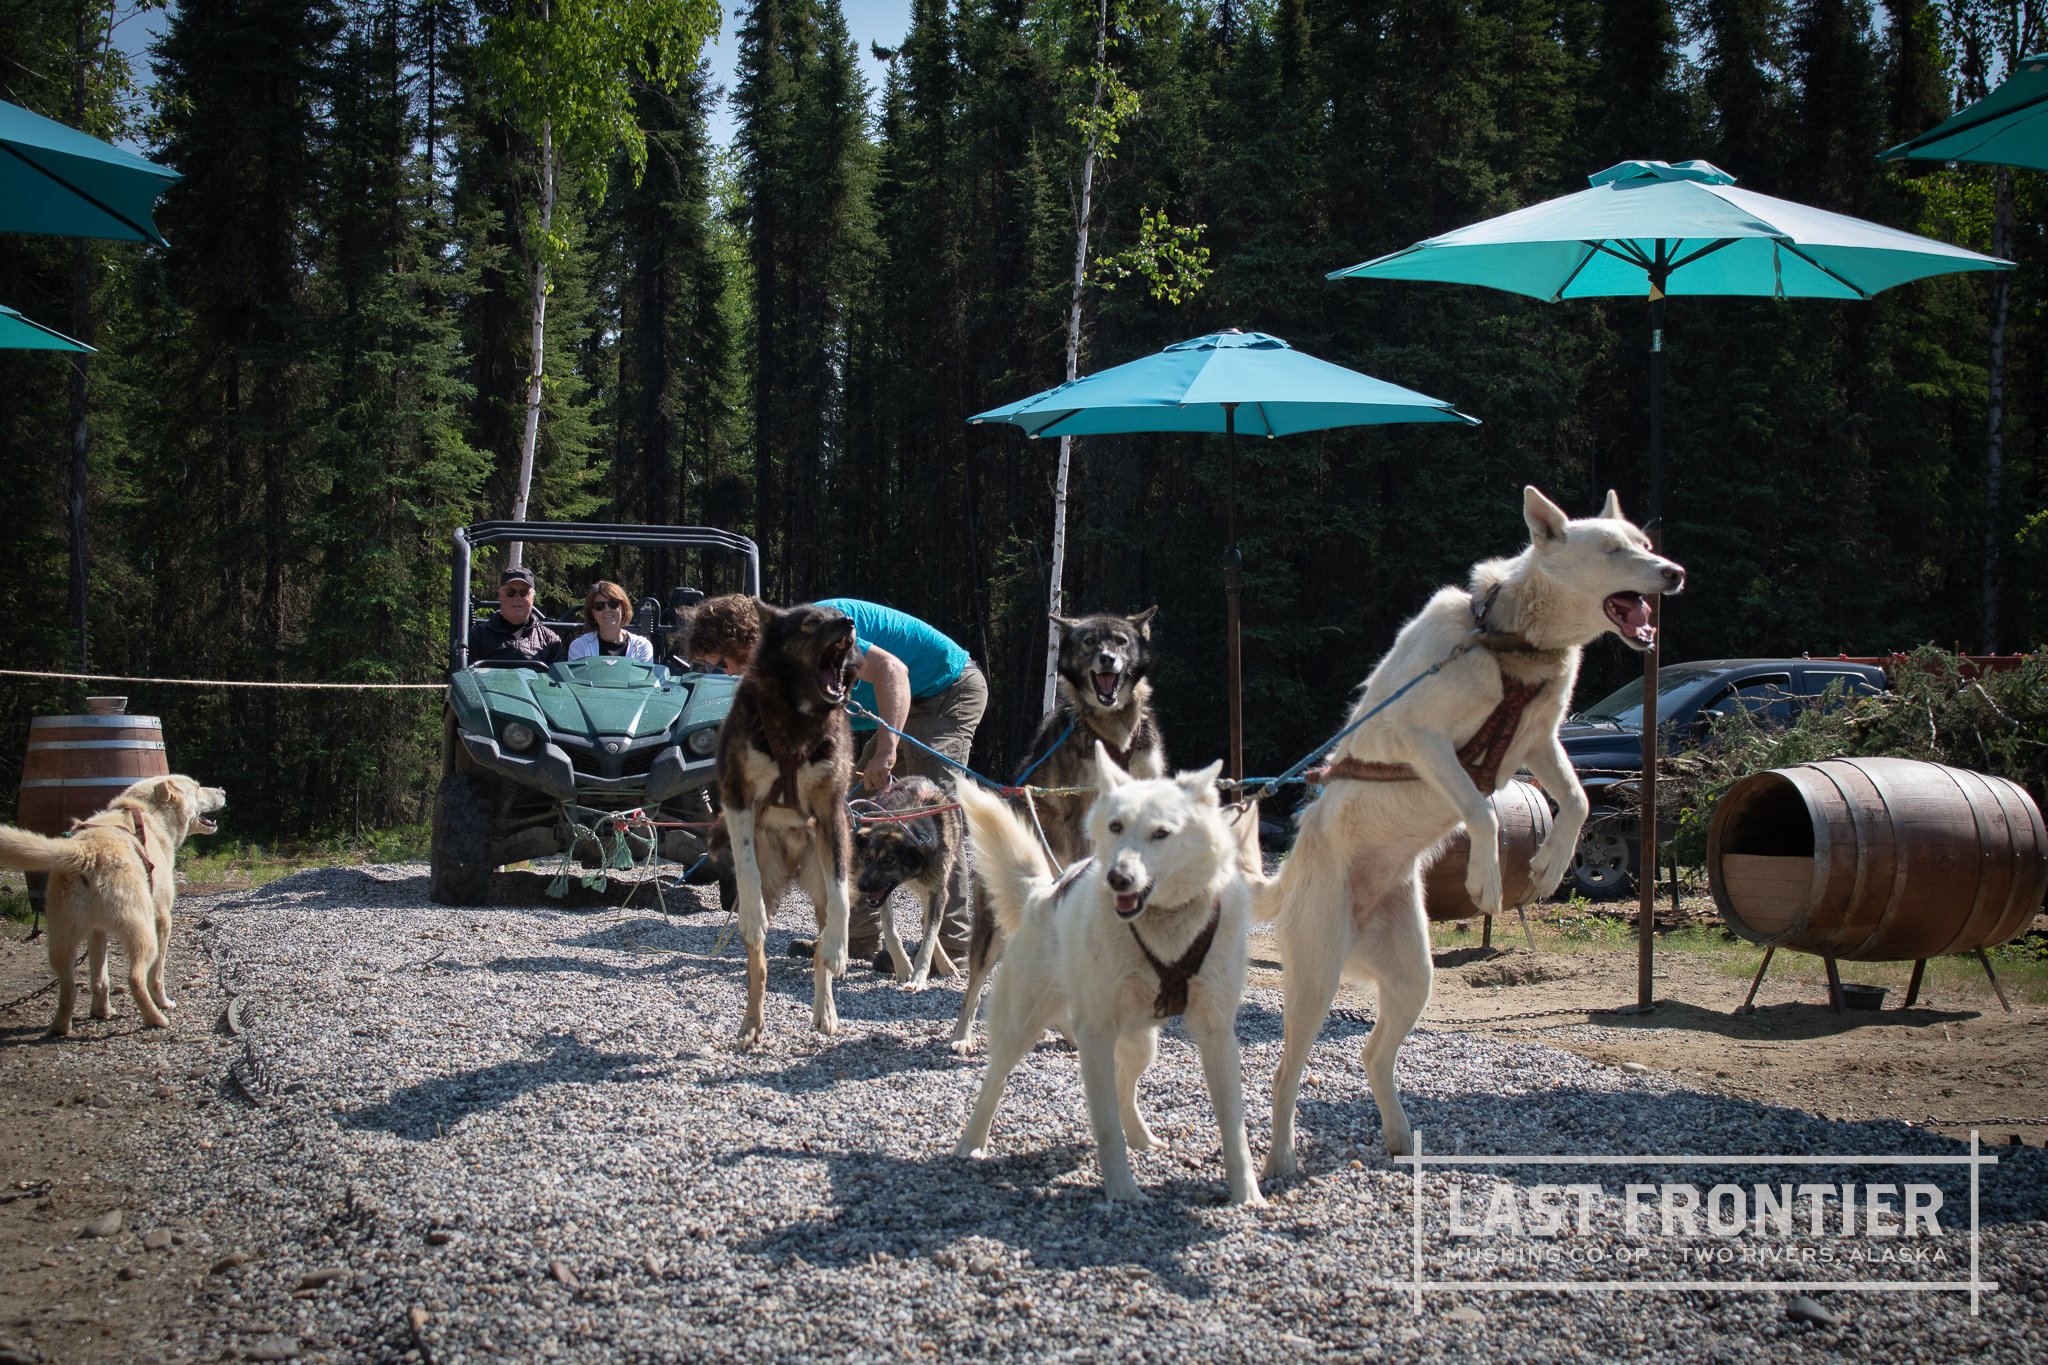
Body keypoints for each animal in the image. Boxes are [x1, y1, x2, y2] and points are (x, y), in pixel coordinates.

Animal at [0, 777, 226, 1035]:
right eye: (197, 788)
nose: (223, 791)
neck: (148, 814)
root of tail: (85, 853)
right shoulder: (162, 918)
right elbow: (157, 975)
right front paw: (164, 1002)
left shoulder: (97, 931)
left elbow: (100, 978)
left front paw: (100, 1010)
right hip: (143, 932)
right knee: (136, 977)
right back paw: (155, 1017)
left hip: (60, 939)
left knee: (69, 985)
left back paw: (62, 1026)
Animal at [716, 597, 860, 1047]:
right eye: (811, 621)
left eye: (839, 616)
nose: (849, 622)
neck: (800, 717)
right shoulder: (736, 798)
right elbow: (745, 867)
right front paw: (751, 914)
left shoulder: (832, 814)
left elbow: (840, 896)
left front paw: (840, 947)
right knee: (758, 964)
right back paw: (752, 1023)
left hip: (817, 878)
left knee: (818, 951)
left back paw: (825, 1008)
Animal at [946, 753, 1261, 1211]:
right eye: (1116, 826)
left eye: (1161, 833)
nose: (1118, 878)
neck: (1162, 927)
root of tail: (1044, 892)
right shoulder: (1096, 1032)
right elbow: (1106, 1125)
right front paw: (1123, 1192)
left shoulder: (1217, 1033)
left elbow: (1234, 1128)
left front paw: (1248, 1196)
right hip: (1021, 1027)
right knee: (995, 1080)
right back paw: (971, 1143)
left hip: (1141, 1044)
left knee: (1124, 1087)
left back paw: (1143, 1138)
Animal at [1261, 489, 1679, 1178]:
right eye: (1612, 550)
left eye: (1645, 544)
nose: (1674, 574)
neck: (1508, 643)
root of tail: (1289, 870)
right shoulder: (1424, 742)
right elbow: (1482, 811)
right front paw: (1488, 880)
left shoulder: (1539, 741)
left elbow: (1579, 801)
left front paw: (1549, 865)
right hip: (1315, 980)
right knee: (1284, 1074)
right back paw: (1279, 1162)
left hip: (1413, 978)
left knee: (1372, 1054)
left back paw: (1399, 1137)